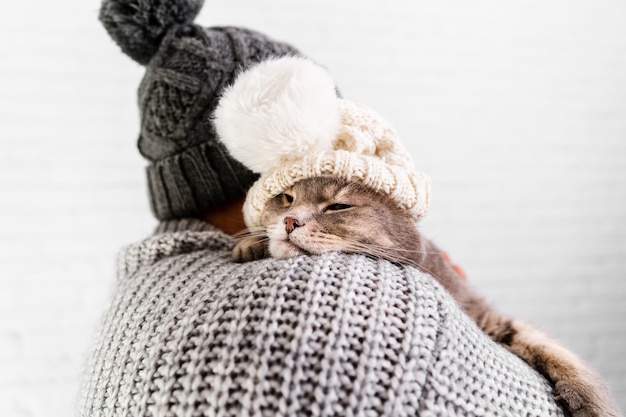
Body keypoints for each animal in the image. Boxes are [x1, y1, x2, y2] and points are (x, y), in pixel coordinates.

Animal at [233, 175, 620, 416]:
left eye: (338, 207)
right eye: (286, 199)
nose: (290, 221)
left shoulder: (489, 316)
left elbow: (556, 351)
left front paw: (593, 404)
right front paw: (251, 244)